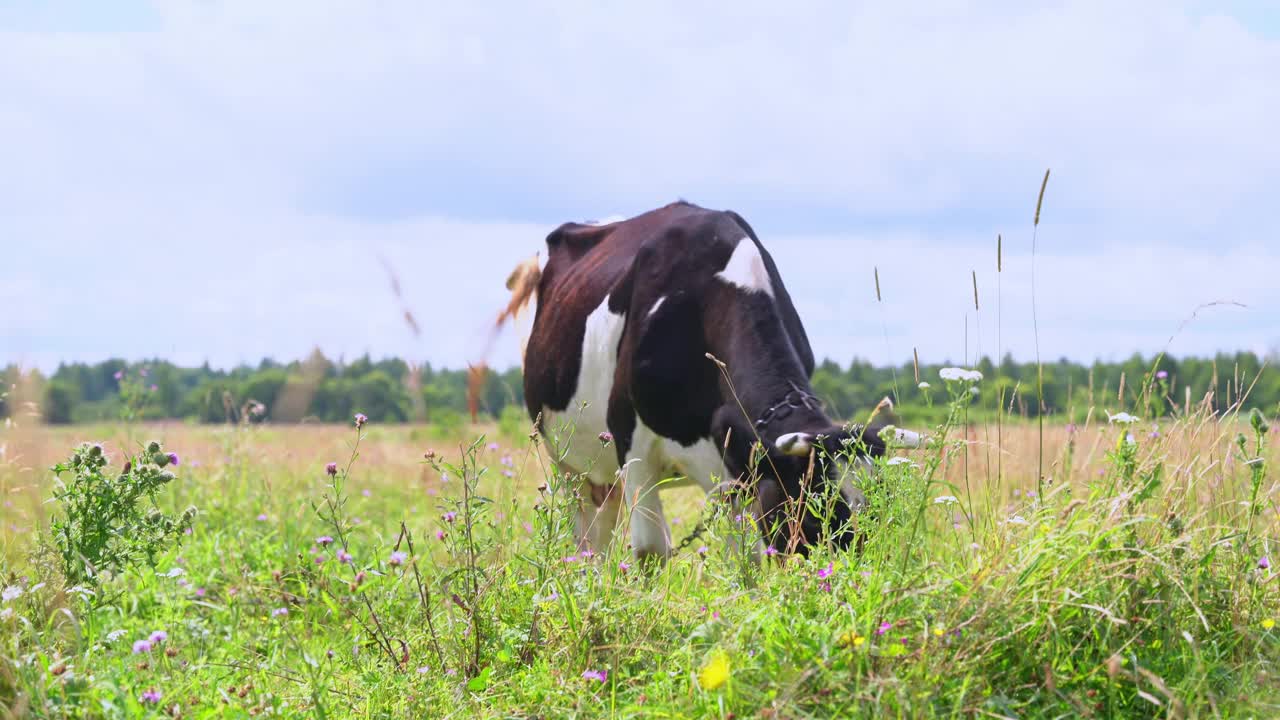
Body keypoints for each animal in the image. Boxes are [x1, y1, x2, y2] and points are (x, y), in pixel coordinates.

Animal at [488, 198, 921, 558]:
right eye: (818, 510)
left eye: (878, 512)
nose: (847, 583)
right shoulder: (631, 442)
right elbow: (650, 552)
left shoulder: (734, 468)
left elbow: (744, 557)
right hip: (563, 458)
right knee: (586, 537)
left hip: (604, 473)